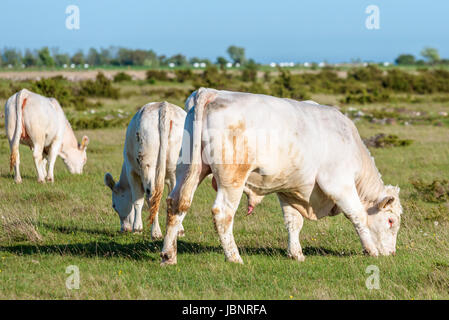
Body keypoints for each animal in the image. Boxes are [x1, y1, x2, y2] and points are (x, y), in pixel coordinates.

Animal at [104, 102, 186, 238]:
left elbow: (137, 201)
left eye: (114, 205)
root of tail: (163, 106)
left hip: (147, 166)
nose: (124, 229)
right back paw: (178, 231)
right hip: (176, 168)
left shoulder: (132, 172)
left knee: (151, 197)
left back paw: (155, 232)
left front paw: (137, 228)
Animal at [161, 87, 402, 264]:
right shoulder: (338, 184)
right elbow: (358, 215)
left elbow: (293, 222)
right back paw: (234, 257)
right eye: (390, 221)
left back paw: (168, 255)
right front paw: (371, 250)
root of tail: (212, 92)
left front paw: (296, 253)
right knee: (222, 213)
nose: (392, 254)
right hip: (232, 178)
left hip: (188, 169)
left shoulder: (289, 189)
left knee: (176, 203)